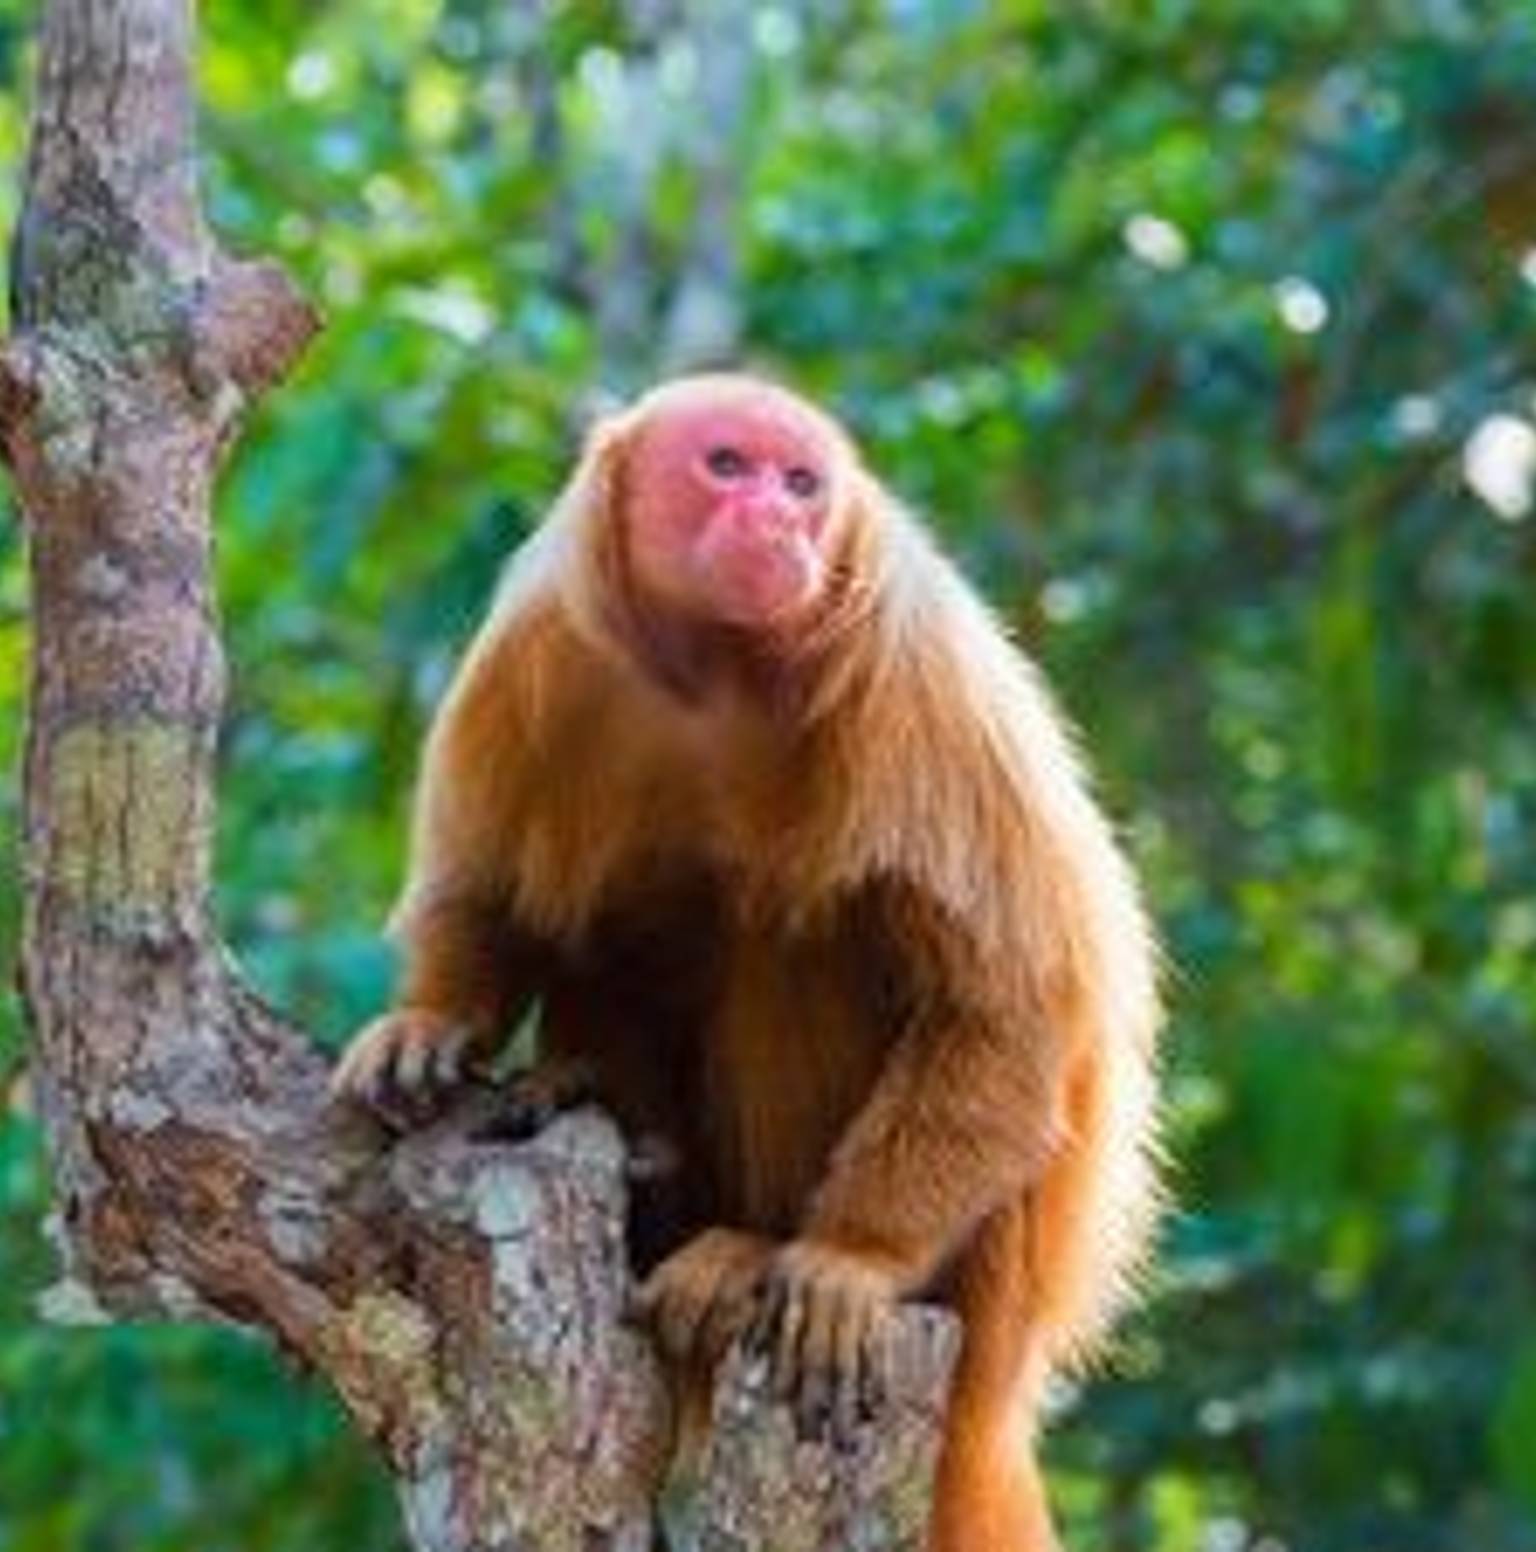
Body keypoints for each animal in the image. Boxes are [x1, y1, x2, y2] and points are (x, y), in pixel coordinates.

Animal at [333, 373, 1162, 1552]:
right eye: (728, 465)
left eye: (803, 482)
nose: (777, 519)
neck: (716, 668)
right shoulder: (534, 641)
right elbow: (485, 887)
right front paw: (432, 1021)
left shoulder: (917, 659)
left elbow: (1010, 998)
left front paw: (853, 1255)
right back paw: (611, 1124)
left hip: (989, 1274)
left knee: (795, 933)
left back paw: (747, 1254)